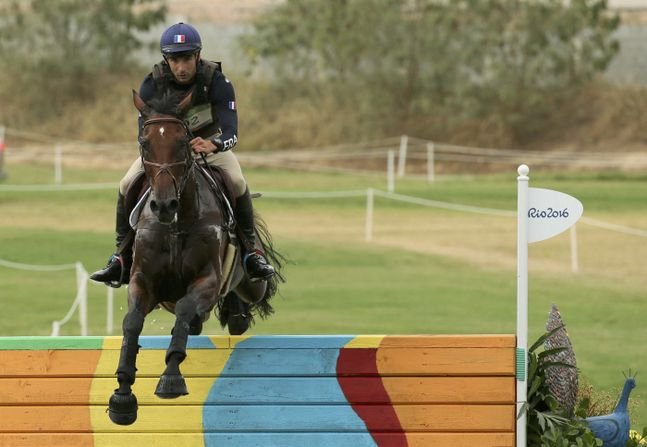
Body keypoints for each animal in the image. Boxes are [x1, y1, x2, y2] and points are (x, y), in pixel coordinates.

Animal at [109, 90, 284, 428]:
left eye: (183, 141)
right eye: (144, 142)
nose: (164, 205)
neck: (176, 223)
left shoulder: (207, 281)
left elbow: (185, 311)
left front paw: (171, 379)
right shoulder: (143, 281)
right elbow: (132, 322)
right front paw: (122, 394)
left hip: (250, 282)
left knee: (242, 293)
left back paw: (241, 303)